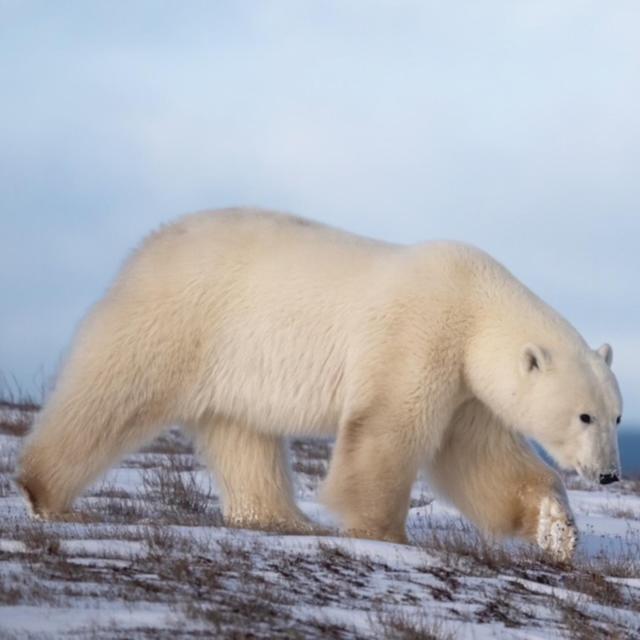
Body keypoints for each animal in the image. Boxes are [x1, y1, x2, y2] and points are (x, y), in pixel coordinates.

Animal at [17, 210, 624, 560]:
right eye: (584, 415)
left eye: (616, 415)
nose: (611, 475)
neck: (474, 302)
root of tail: (149, 244)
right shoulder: (418, 334)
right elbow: (387, 428)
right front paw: (383, 532)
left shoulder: (464, 384)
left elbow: (479, 457)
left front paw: (557, 528)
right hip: (180, 317)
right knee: (113, 391)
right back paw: (42, 491)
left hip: (235, 360)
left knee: (242, 433)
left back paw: (278, 516)